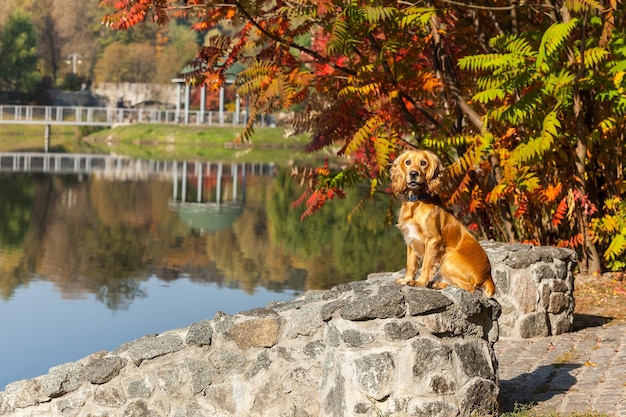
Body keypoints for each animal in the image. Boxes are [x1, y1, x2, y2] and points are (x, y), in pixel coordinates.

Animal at [388, 149, 494, 296]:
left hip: (449, 256)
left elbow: (426, 264)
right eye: (407, 162)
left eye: (423, 163)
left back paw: (437, 284)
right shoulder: (410, 239)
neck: (417, 201)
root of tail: (488, 276)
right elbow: (410, 264)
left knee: (469, 287)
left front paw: (420, 282)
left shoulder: (433, 240)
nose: (413, 174)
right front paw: (407, 279)